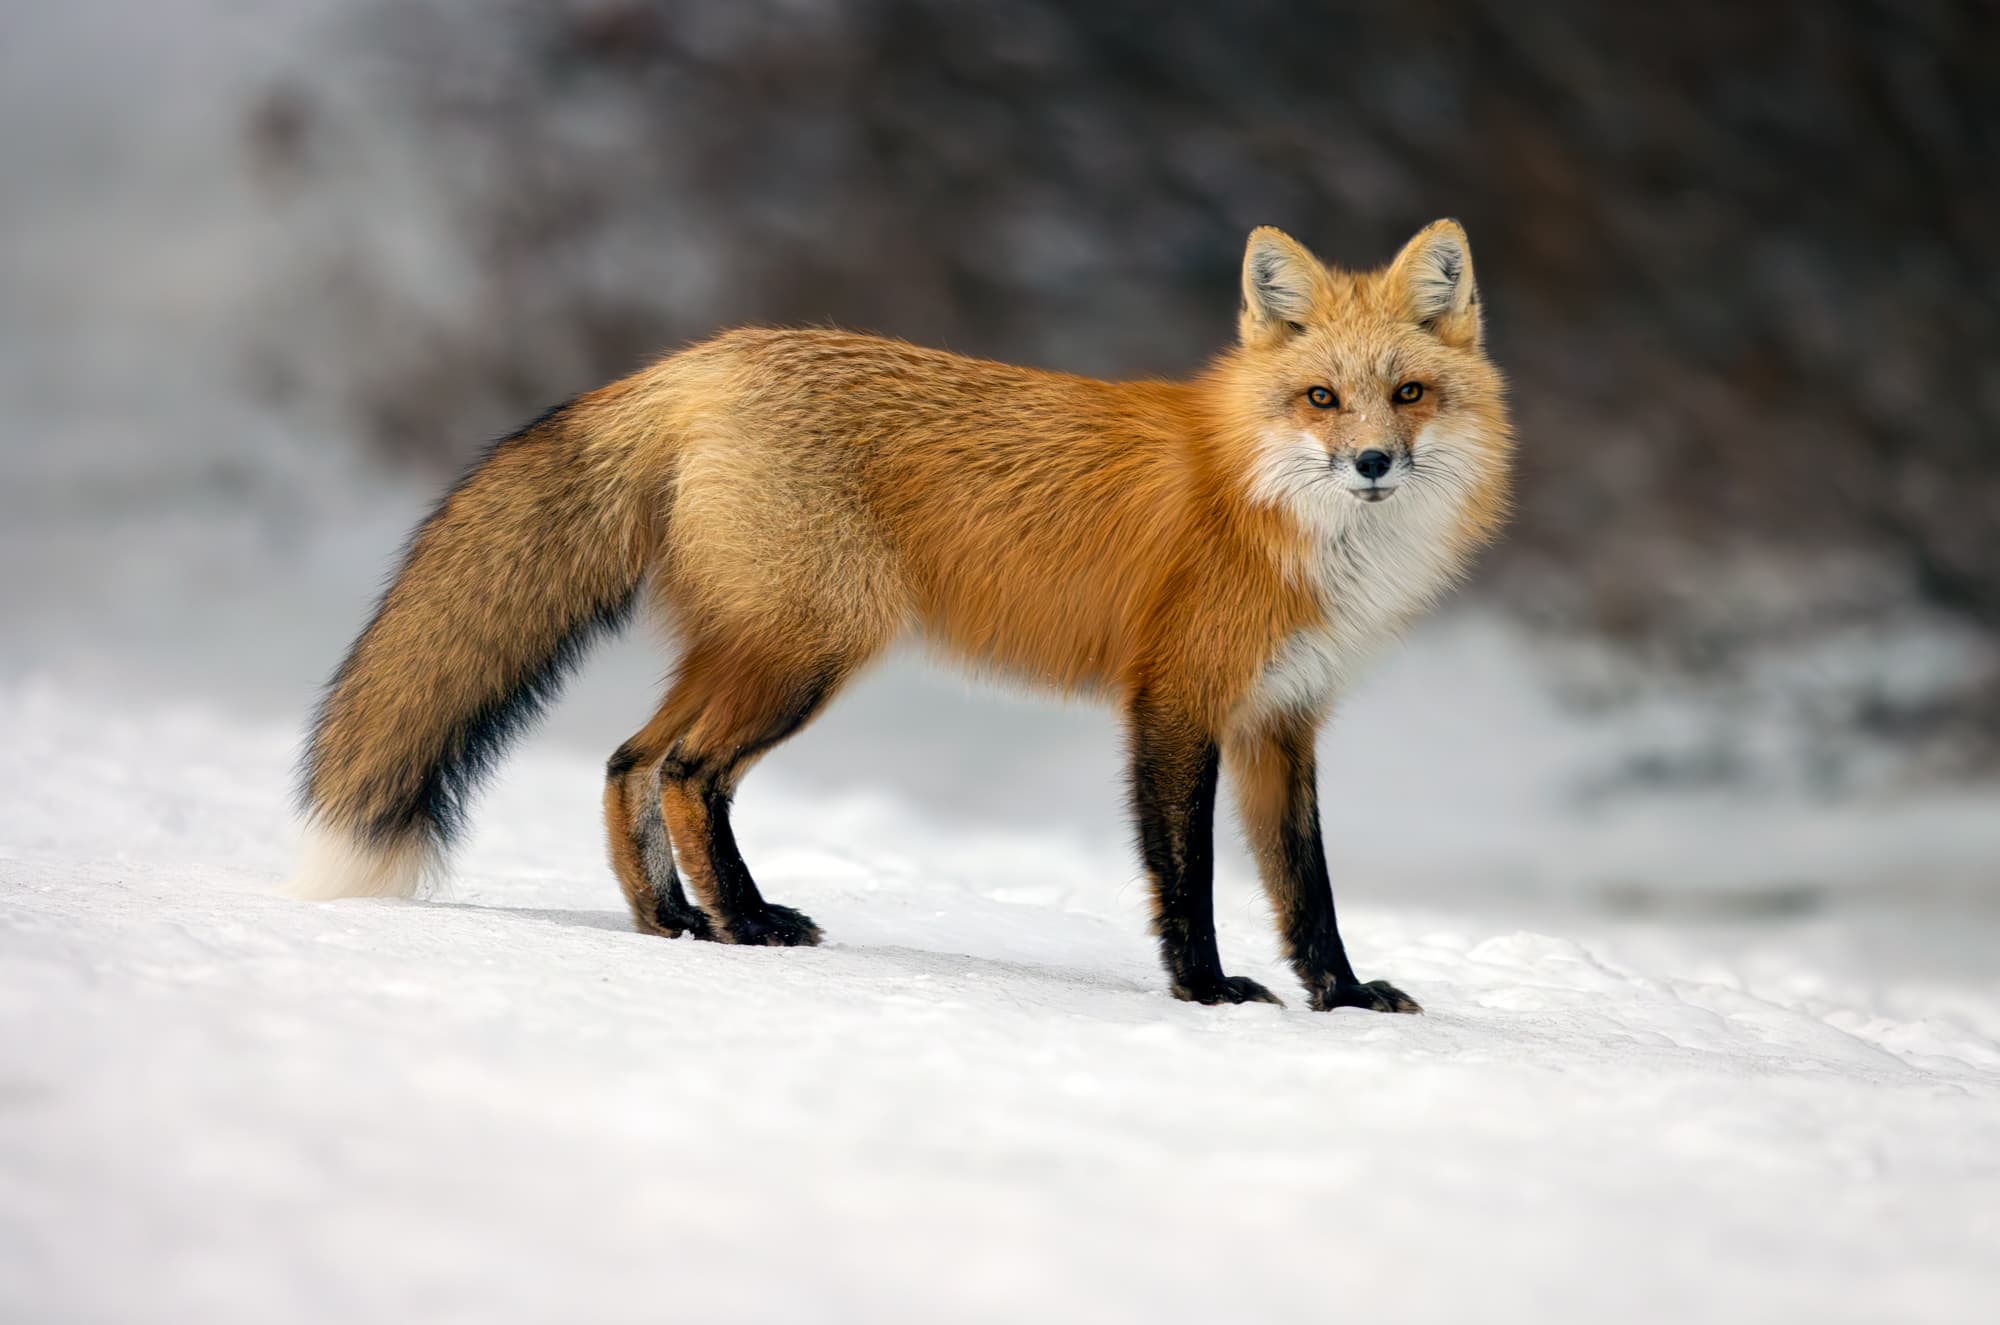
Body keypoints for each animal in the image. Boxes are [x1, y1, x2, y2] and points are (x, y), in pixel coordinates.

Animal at [290, 220, 1512, 1012]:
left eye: (1408, 394)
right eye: (1320, 397)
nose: (1370, 463)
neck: (1289, 519)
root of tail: (703, 359)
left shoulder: (1281, 718)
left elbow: (1307, 889)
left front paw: (1342, 996)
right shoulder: (1179, 699)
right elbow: (1189, 875)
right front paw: (1203, 989)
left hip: (750, 649)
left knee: (627, 761)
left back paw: (673, 923)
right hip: (808, 655)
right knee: (687, 771)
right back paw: (745, 923)